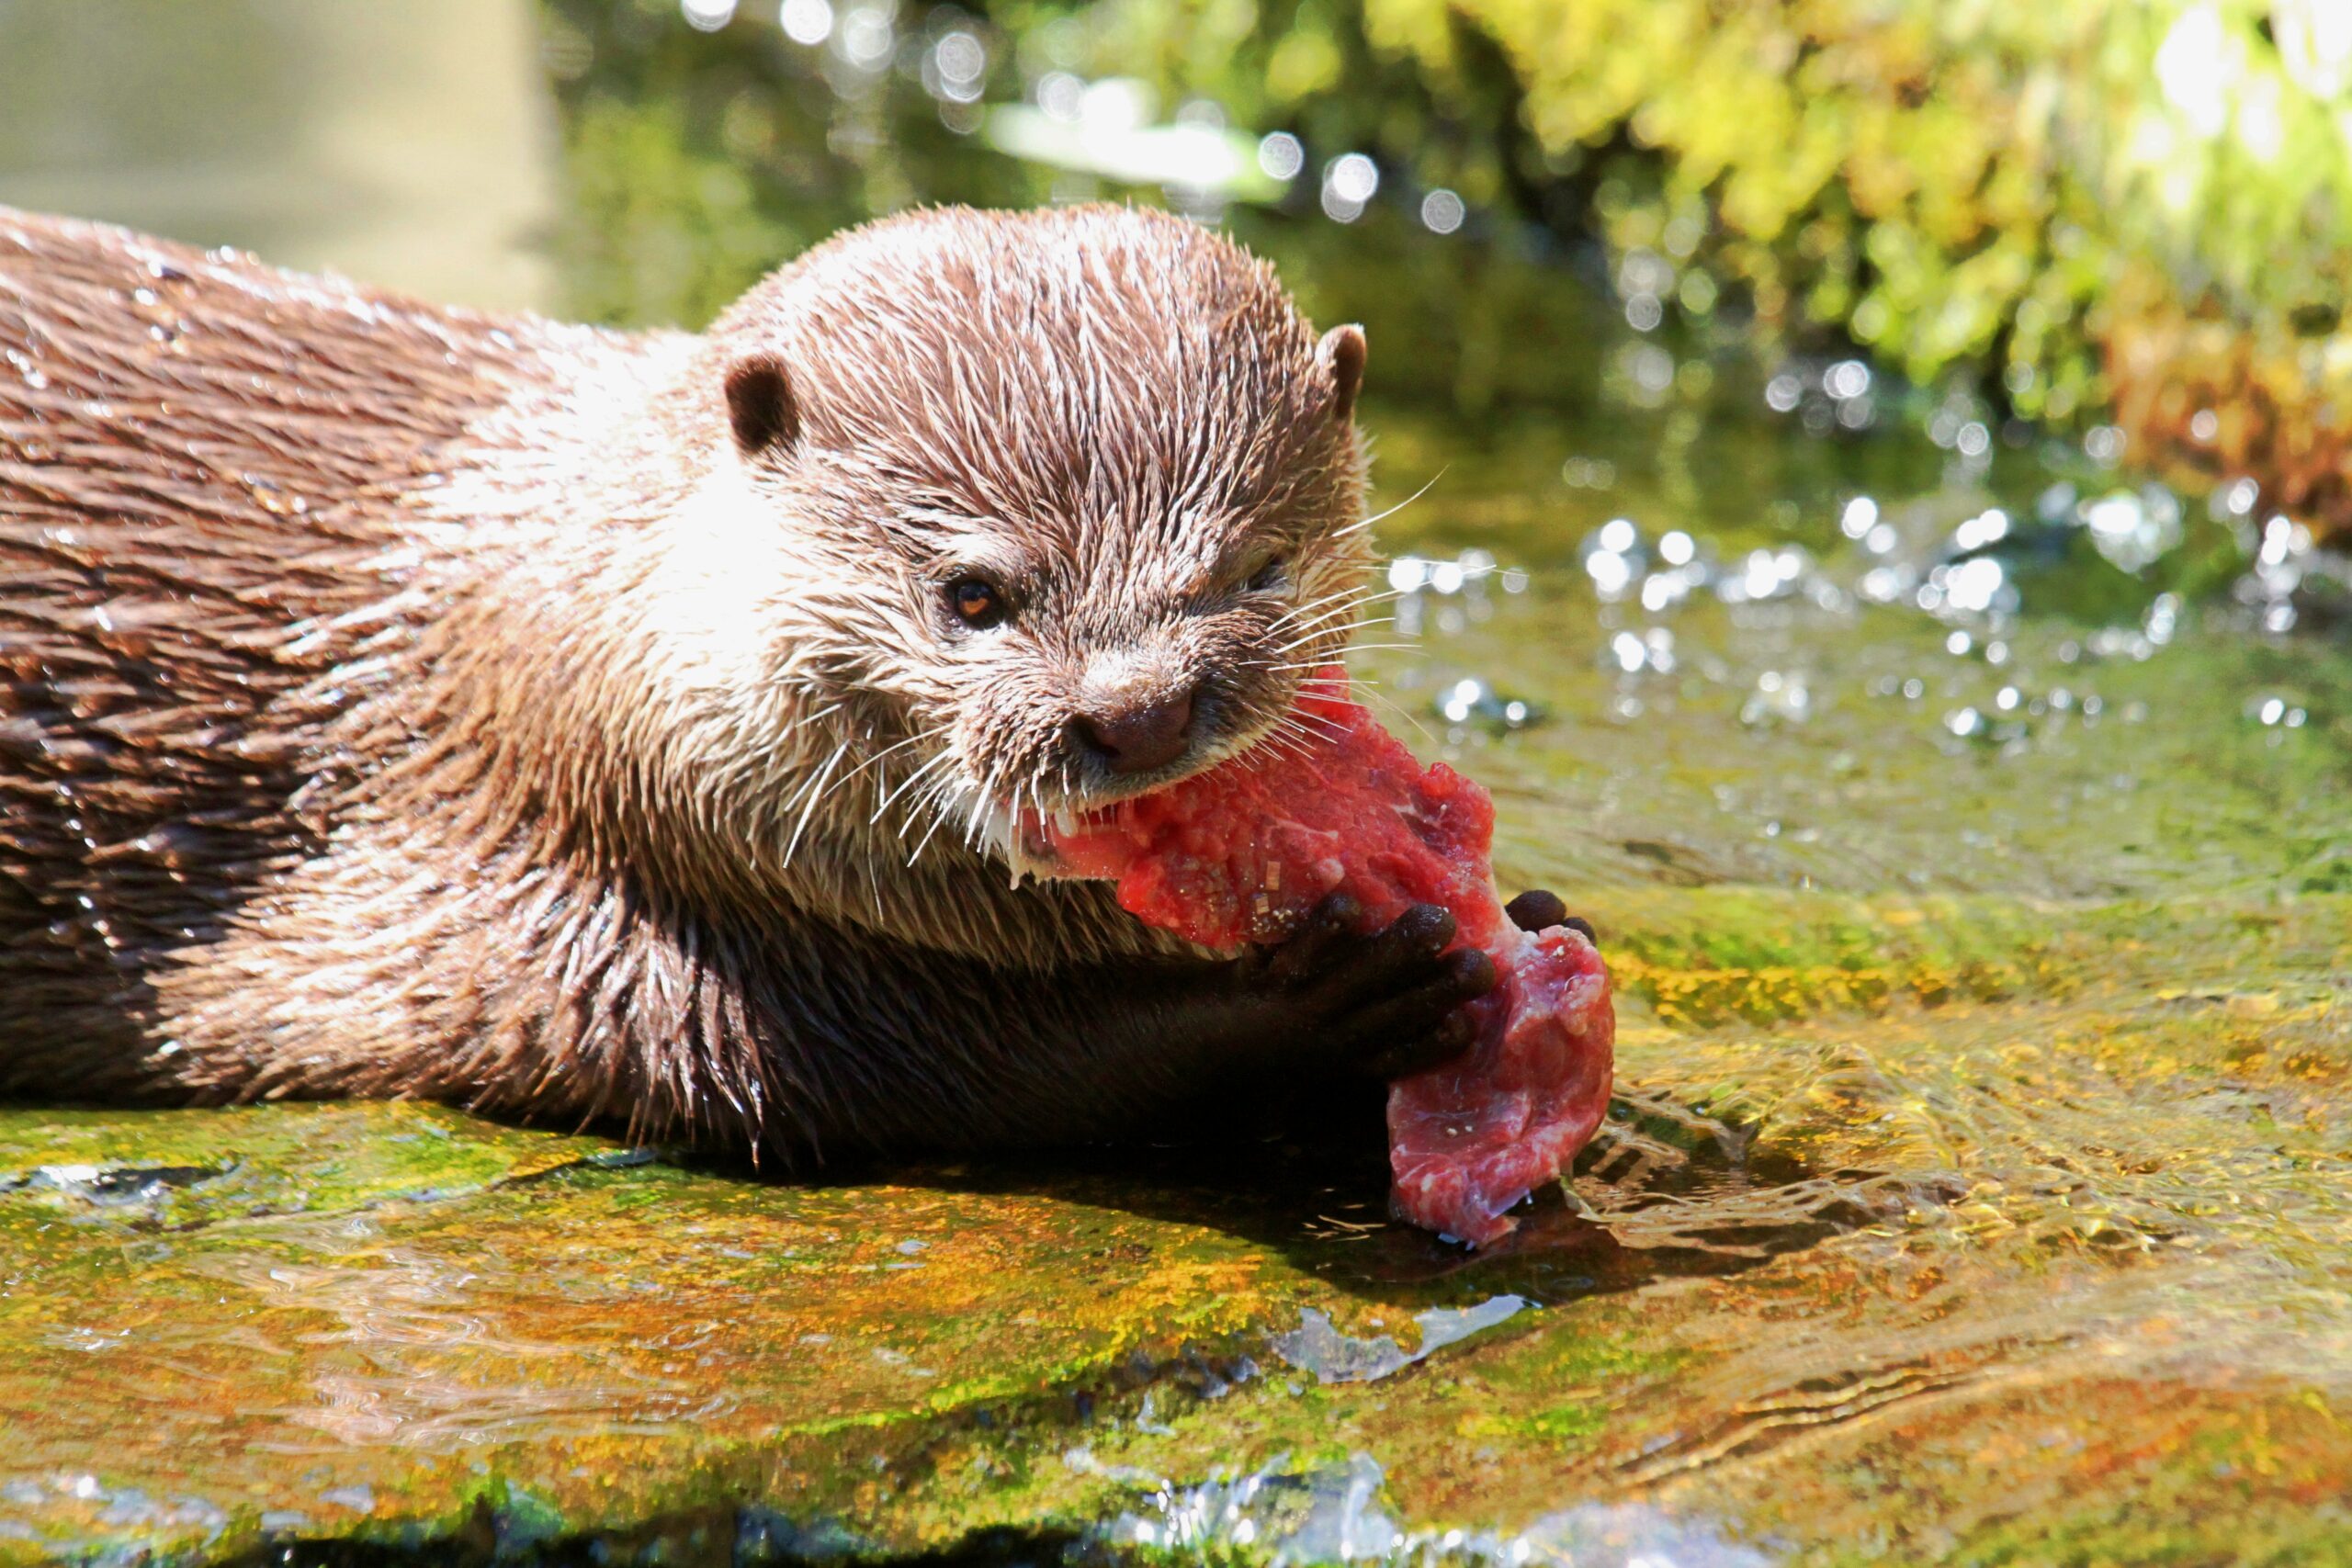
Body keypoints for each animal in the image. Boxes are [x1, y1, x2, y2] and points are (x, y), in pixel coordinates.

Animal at [0, 205, 1561, 1166]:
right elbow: (970, 1074)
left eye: (1258, 566)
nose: (1137, 707)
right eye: (973, 593)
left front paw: (1526, 914)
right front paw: (1349, 994)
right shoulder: (625, 909)